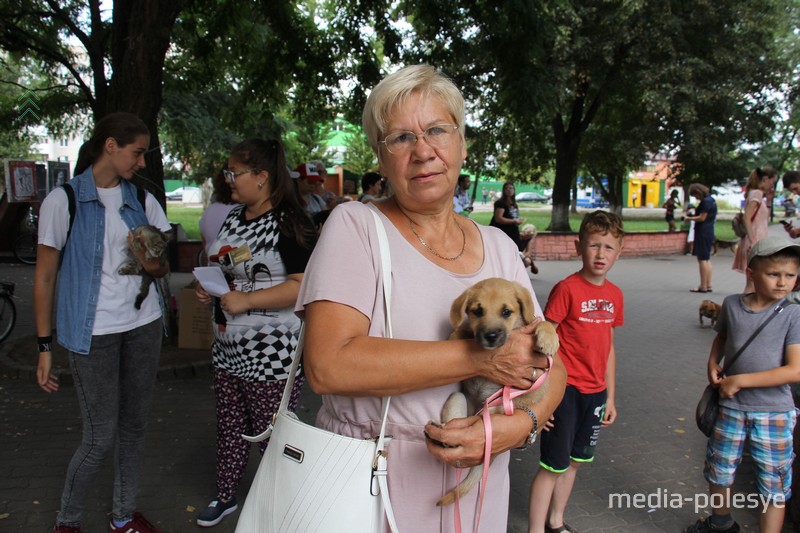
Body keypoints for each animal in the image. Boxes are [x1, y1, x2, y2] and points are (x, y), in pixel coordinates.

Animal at [434, 276, 560, 504]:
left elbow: (542, 322)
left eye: (506, 312)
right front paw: (454, 335)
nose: (491, 336)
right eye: (477, 311)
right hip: (458, 398)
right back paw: (440, 431)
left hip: (498, 407)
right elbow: (464, 331)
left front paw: (548, 339)